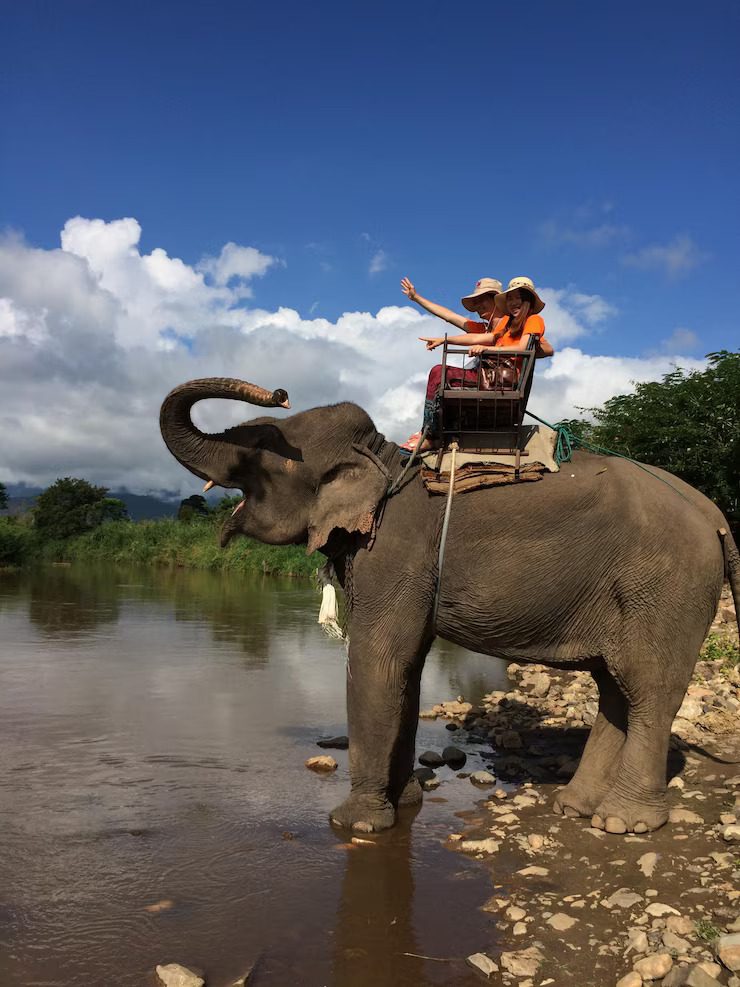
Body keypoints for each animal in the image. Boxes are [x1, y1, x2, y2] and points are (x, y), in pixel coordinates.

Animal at [160, 377, 740, 836]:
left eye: (260, 447)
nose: (279, 391)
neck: (385, 459)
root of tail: (715, 515)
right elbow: (407, 669)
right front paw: (406, 803)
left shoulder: (394, 554)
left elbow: (377, 663)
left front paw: (354, 825)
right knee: (615, 690)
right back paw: (576, 807)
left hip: (665, 587)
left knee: (649, 690)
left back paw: (622, 822)